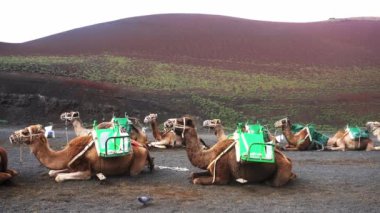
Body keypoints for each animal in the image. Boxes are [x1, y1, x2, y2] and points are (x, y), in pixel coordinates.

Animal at [8, 124, 154, 182]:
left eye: (25, 132)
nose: (11, 137)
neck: (66, 154)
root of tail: (143, 147)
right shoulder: (69, 165)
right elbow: (52, 172)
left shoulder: (85, 170)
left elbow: (58, 177)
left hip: (136, 165)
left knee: (133, 172)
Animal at [163, 115, 294, 186]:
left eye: (180, 121)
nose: (166, 123)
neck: (209, 155)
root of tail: (288, 160)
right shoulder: (211, 170)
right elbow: (193, 174)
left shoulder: (221, 177)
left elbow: (197, 180)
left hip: (282, 170)